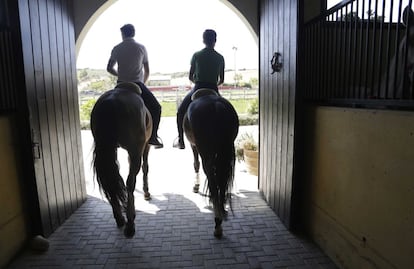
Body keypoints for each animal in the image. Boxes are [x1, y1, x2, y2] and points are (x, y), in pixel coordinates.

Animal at [90, 81, 152, 237]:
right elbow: (146, 168)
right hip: (135, 150)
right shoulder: (145, 146)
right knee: (130, 182)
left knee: (110, 179)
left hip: (107, 148)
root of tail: (111, 101)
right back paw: (130, 223)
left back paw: (119, 218)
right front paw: (146, 192)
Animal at [184, 88, 239, 237]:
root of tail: (216, 106)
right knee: (222, 181)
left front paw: (196, 186)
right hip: (227, 151)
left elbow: (195, 164)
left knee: (213, 182)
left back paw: (217, 224)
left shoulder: (194, 146)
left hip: (206, 153)